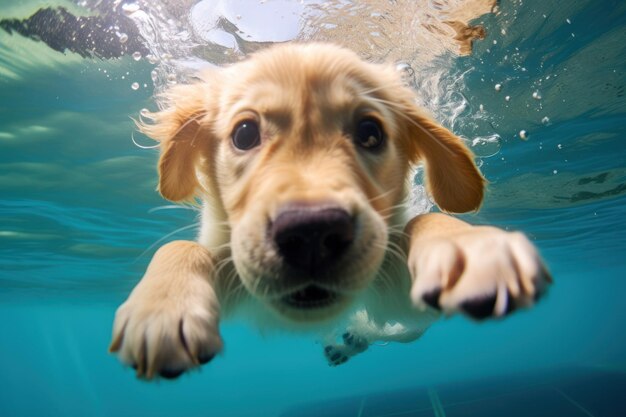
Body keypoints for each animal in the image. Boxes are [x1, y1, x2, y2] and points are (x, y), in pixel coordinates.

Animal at [109, 41, 548, 376]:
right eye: (245, 133)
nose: (311, 234)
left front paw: (470, 250)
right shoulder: (231, 261)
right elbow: (180, 247)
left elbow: (425, 219)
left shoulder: (393, 284)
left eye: (370, 133)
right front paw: (162, 308)